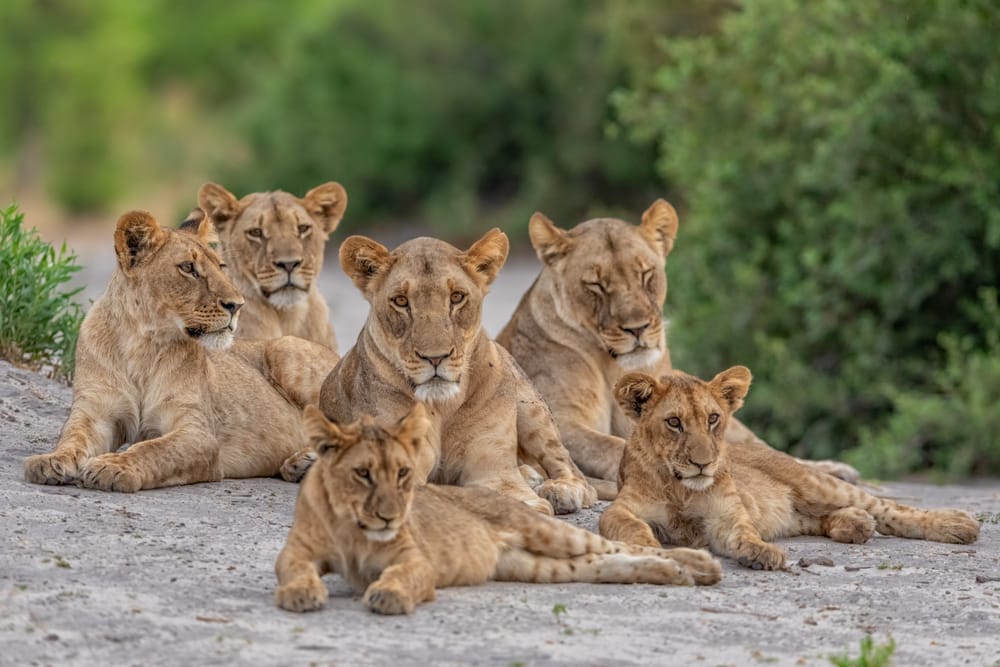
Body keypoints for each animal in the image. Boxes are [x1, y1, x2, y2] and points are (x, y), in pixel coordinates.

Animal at [23, 209, 340, 492]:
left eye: (221, 266)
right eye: (188, 268)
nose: (237, 305)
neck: (143, 343)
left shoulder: (198, 433)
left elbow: (154, 449)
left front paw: (113, 466)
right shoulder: (96, 411)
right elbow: (73, 437)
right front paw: (51, 461)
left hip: (286, 350)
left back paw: (306, 462)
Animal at [274, 403, 722, 614]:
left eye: (403, 473)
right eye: (363, 474)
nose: (391, 514)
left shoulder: (416, 560)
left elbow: (403, 575)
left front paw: (388, 595)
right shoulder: (295, 554)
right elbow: (294, 571)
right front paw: (300, 593)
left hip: (544, 531)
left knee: (624, 546)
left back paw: (699, 565)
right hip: (533, 566)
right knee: (607, 563)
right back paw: (677, 574)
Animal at [318, 229, 597, 515]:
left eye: (456, 297)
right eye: (401, 301)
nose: (435, 357)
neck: (443, 406)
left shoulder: (494, 472)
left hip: (532, 410)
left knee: (575, 472)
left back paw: (561, 489)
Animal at [496, 199, 860, 488]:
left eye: (646, 274)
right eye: (596, 285)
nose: (638, 328)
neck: (612, 365)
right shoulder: (563, 419)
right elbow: (615, 447)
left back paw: (836, 470)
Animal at [599, 366, 980, 570]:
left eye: (713, 419)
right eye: (674, 423)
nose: (704, 464)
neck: (680, 487)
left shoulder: (725, 516)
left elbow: (743, 533)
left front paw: (761, 553)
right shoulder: (621, 508)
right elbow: (630, 526)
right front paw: (649, 547)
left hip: (817, 483)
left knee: (890, 508)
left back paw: (956, 523)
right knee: (830, 518)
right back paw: (855, 523)